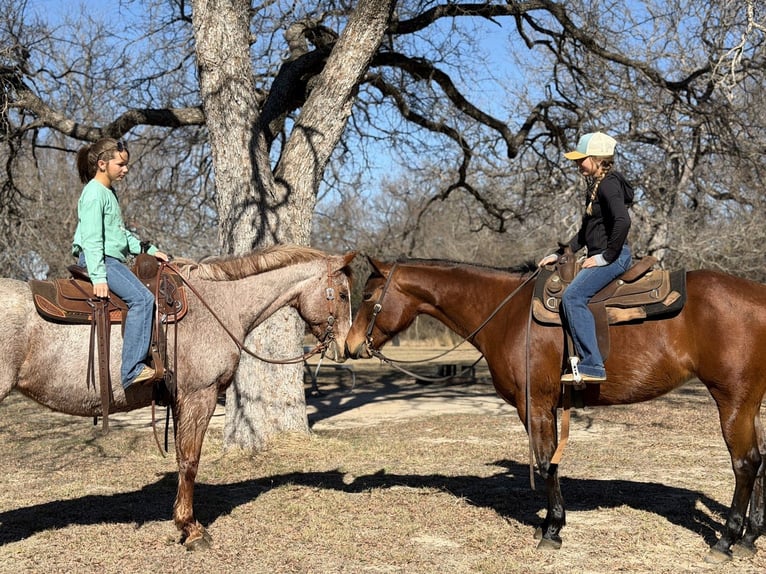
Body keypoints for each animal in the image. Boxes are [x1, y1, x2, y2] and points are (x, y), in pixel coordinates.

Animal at [0, 245, 355, 549]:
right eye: (341, 294)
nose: (347, 346)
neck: (219, 304)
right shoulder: (200, 396)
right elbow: (189, 461)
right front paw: (191, 529)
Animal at [345, 256, 766, 563]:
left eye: (366, 295)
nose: (349, 345)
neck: (507, 314)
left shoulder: (534, 406)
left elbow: (547, 463)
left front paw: (552, 530)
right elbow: (551, 462)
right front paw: (550, 525)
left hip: (732, 400)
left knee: (744, 464)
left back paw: (726, 541)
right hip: (750, 403)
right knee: (760, 462)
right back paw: (750, 537)